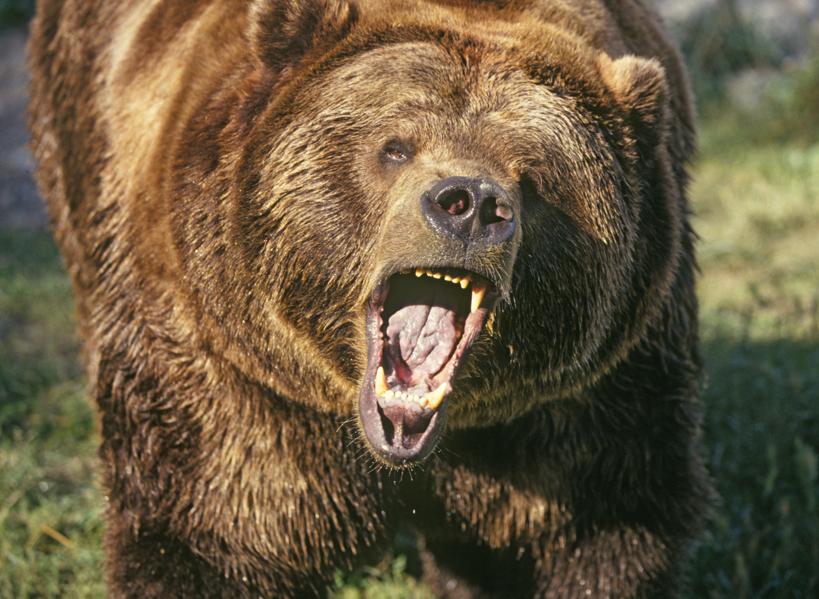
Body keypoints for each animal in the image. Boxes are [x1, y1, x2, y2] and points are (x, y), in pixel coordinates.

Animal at [28, 0, 713, 597]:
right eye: (395, 146)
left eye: (536, 176)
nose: (470, 204)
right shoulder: (236, 380)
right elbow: (212, 536)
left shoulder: (585, 399)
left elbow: (594, 535)